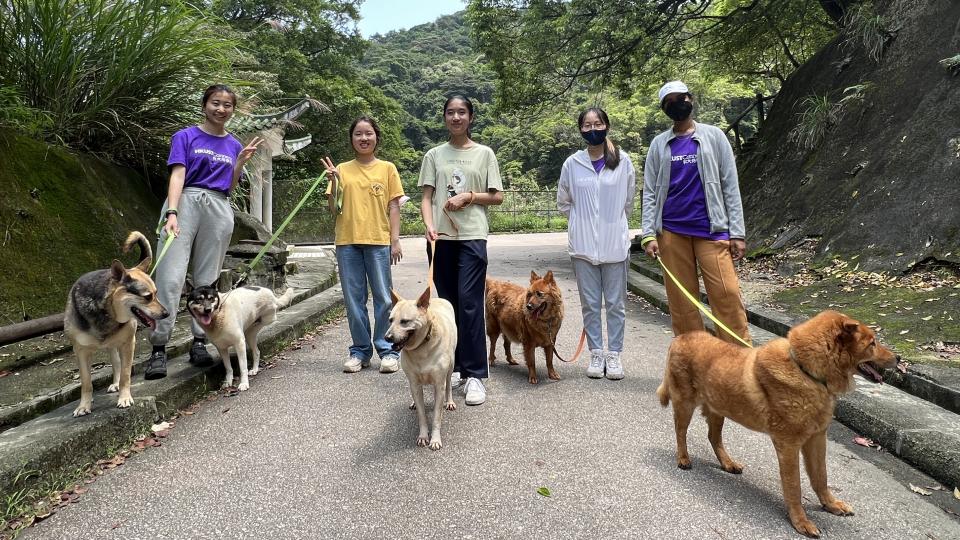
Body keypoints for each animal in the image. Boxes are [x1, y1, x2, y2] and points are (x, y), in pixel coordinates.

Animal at [63, 232, 170, 418]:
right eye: (148, 297)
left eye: (156, 294)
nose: (166, 314)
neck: (107, 312)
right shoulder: (80, 351)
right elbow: (86, 383)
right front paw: (83, 406)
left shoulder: (128, 343)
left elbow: (125, 374)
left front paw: (124, 397)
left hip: (117, 343)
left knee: (117, 364)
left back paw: (116, 384)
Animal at [656, 310, 896, 536]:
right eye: (872, 343)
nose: (900, 359)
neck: (806, 371)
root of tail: (681, 337)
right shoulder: (788, 445)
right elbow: (794, 486)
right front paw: (800, 521)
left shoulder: (817, 439)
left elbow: (821, 477)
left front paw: (830, 504)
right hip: (685, 404)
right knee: (680, 432)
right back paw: (683, 458)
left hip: (718, 408)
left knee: (713, 437)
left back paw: (728, 463)